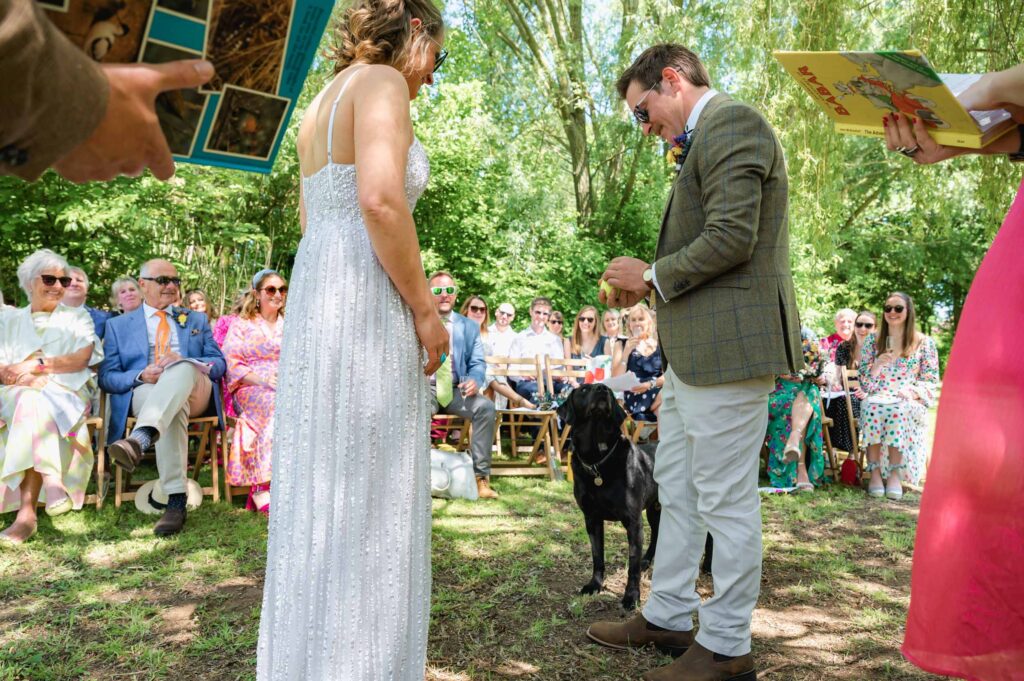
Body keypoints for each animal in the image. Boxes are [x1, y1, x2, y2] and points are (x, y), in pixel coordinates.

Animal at [557, 382, 659, 610]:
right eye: (584, 390)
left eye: (609, 391)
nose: (602, 388)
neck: (598, 460)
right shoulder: (592, 519)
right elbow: (597, 556)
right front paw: (594, 585)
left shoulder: (633, 522)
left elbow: (632, 567)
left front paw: (631, 596)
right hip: (654, 509)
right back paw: (648, 560)